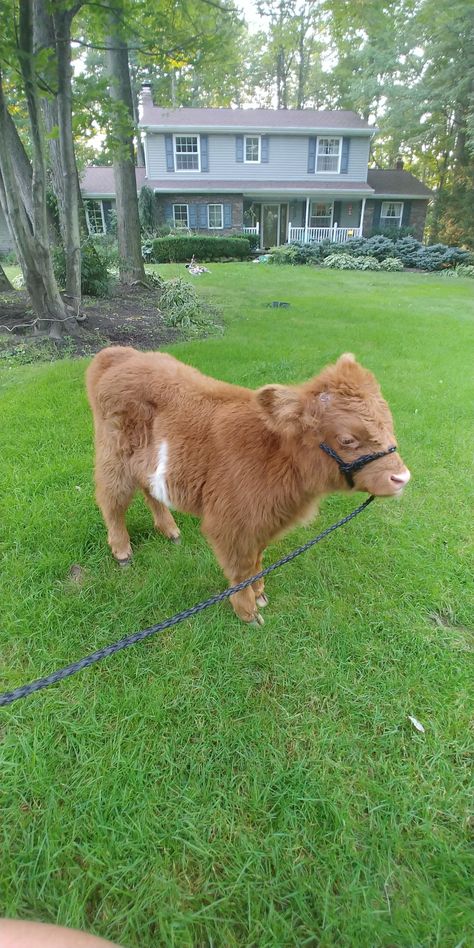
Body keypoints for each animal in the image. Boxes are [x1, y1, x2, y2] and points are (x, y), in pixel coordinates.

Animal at [87, 346, 410, 624]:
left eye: (389, 423)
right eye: (347, 439)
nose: (402, 478)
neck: (275, 455)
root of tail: (120, 354)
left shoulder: (260, 524)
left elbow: (256, 560)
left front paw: (260, 593)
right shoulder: (231, 524)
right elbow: (240, 569)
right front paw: (247, 611)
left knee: (149, 490)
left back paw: (169, 529)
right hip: (113, 460)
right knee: (111, 502)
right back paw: (122, 551)